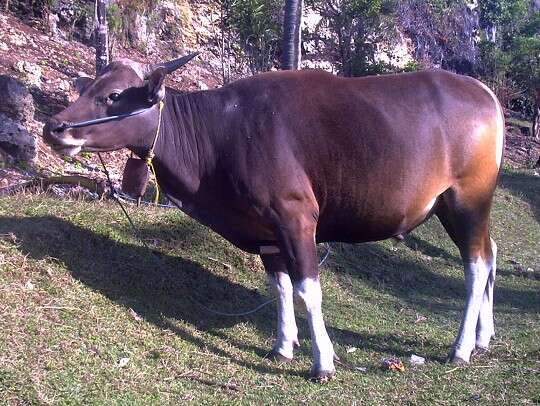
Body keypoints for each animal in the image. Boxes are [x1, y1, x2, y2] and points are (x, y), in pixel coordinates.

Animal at [44, 55, 504, 382]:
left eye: (113, 95)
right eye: (87, 87)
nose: (54, 127)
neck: (219, 133)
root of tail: (484, 91)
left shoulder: (296, 218)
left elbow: (307, 290)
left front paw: (322, 362)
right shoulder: (266, 231)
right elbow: (281, 288)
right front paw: (282, 346)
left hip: (466, 200)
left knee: (476, 265)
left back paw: (461, 348)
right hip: (457, 208)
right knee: (492, 252)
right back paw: (484, 338)